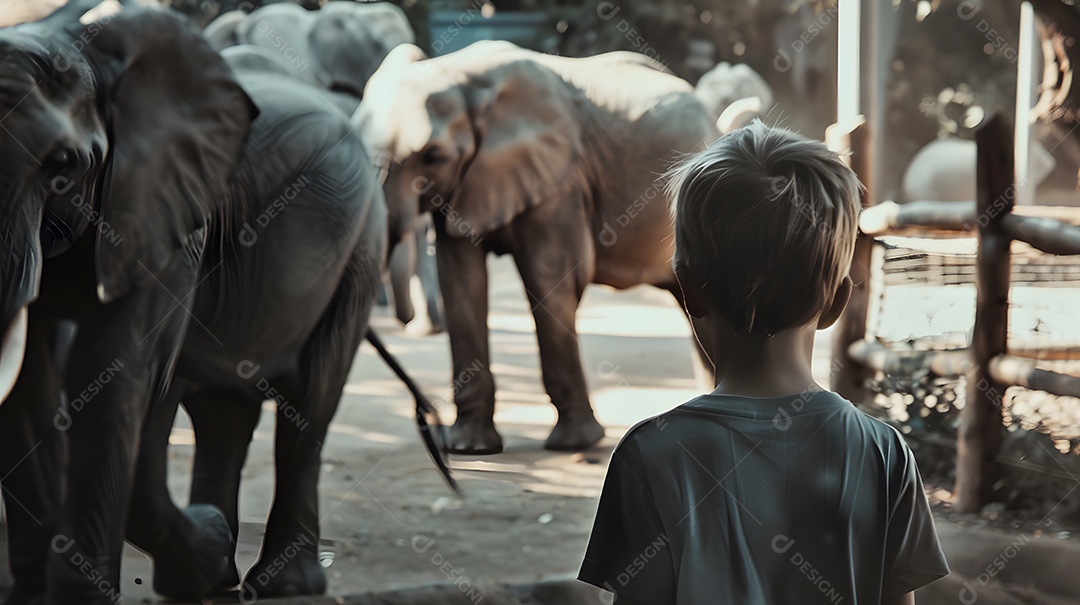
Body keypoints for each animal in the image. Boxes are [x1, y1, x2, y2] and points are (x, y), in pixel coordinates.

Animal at [0, 2, 388, 602]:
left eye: (62, 166)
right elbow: (29, 387)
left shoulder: (171, 222)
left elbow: (112, 373)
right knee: (221, 412)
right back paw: (216, 574)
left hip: (361, 247)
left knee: (310, 402)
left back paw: (280, 582)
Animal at [356, 41, 719, 455]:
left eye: (433, 156)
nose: (429, 423)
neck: (459, 74)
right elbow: (460, 280)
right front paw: (470, 449)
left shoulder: (559, 181)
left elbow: (549, 277)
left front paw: (574, 445)